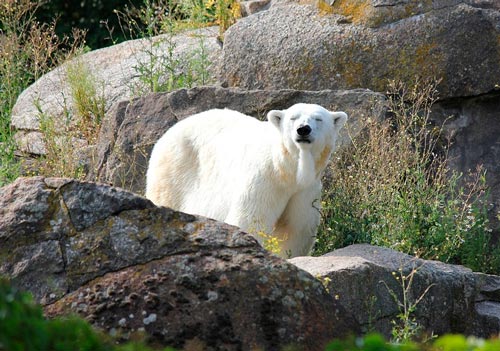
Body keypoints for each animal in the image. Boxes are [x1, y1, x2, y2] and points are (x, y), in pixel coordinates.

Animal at [146, 104, 346, 258]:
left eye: (318, 119)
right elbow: (251, 219)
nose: (303, 129)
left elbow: (295, 229)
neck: (287, 170)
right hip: (174, 172)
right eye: (293, 118)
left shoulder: (305, 189)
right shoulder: (265, 178)